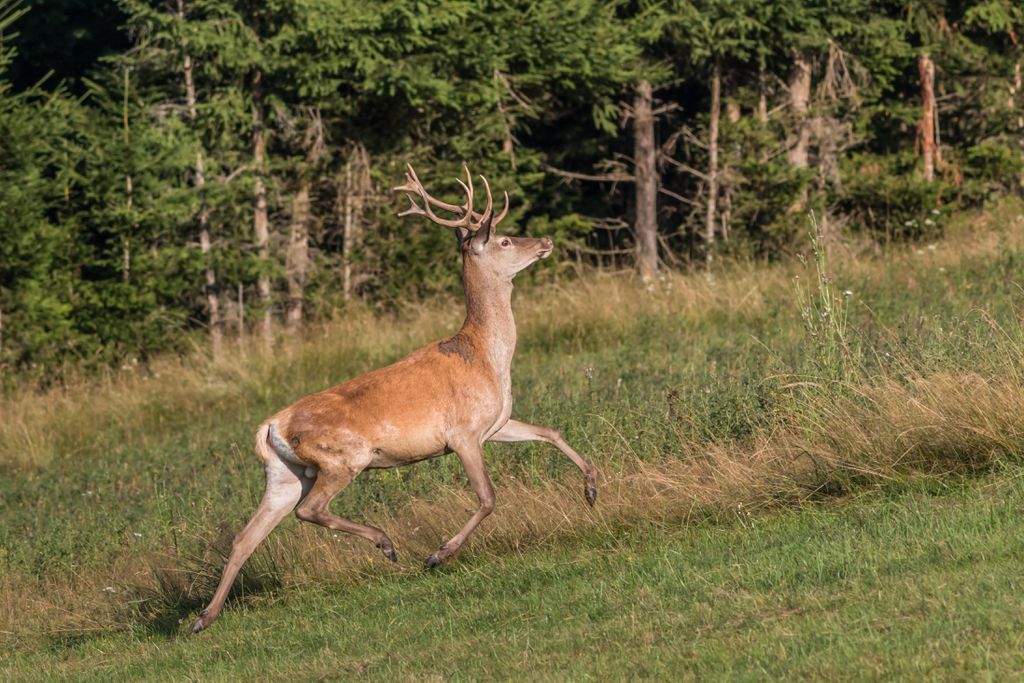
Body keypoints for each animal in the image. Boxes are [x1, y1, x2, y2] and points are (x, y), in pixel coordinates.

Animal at [190, 165, 598, 634]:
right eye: (505, 240)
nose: (546, 240)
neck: (484, 356)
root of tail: (271, 425)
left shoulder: (492, 424)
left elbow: (550, 430)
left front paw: (591, 488)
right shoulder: (461, 433)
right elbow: (488, 496)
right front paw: (438, 554)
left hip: (283, 473)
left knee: (246, 536)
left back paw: (204, 617)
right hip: (342, 457)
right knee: (309, 510)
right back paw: (385, 543)